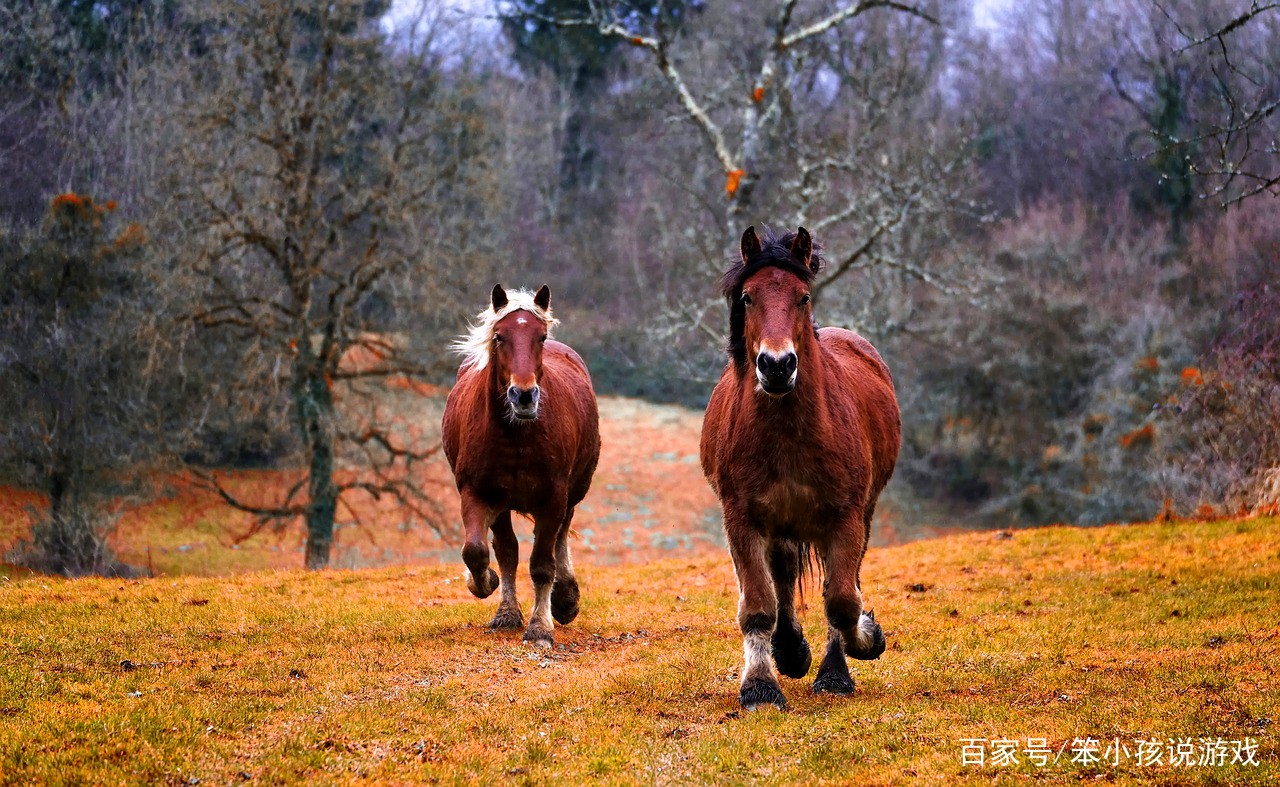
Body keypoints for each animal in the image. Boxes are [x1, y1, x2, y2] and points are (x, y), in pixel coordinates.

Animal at [442, 282, 601, 647]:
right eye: (499, 336)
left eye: (540, 336)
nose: (524, 396)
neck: (515, 436)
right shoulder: (477, 493)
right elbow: (478, 551)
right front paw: (486, 585)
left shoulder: (553, 498)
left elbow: (542, 563)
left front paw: (541, 627)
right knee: (507, 550)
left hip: (572, 493)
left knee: (560, 538)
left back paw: (565, 599)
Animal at [701, 225, 901, 711]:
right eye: (748, 297)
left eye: (803, 296)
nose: (777, 365)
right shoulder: (742, 519)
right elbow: (759, 604)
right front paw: (760, 686)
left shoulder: (846, 518)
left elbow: (843, 600)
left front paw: (861, 646)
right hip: (781, 524)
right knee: (784, 577)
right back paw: (789, 650)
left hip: (857, 515)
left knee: (837, 582)